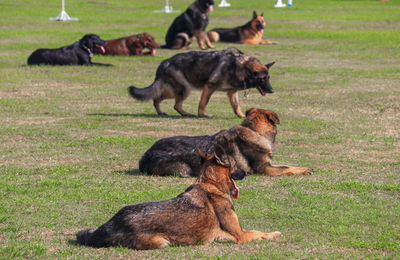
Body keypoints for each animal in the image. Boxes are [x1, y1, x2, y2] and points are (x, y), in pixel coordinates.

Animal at [75, 147, 282, 249]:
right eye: (236, 164)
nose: (247, 173)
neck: (211, 183)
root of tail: (107, 227)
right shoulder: (240, 235)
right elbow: (259, 232)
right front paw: (274, 234)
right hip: (161, 242)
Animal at [128, 48, 276, 118]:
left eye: (269, 78)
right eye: (263, 79)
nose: (272, 91)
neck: (240, 66)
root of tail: (165, 62)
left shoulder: (232, 92)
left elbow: (236, 106)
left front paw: (241, 116)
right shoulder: (209, 87)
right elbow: (203, 103)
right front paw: (202, 115)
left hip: (176, 90)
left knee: (158, 99)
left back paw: (163, 112)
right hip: (184, 89)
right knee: (174, 104)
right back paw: (186, 114)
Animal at [140, 107, 312, 177]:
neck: (254, 130)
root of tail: (143, 157)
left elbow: (286, 164)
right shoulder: (265, 168)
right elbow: (286, 168)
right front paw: (303, 170)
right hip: (183, 167)